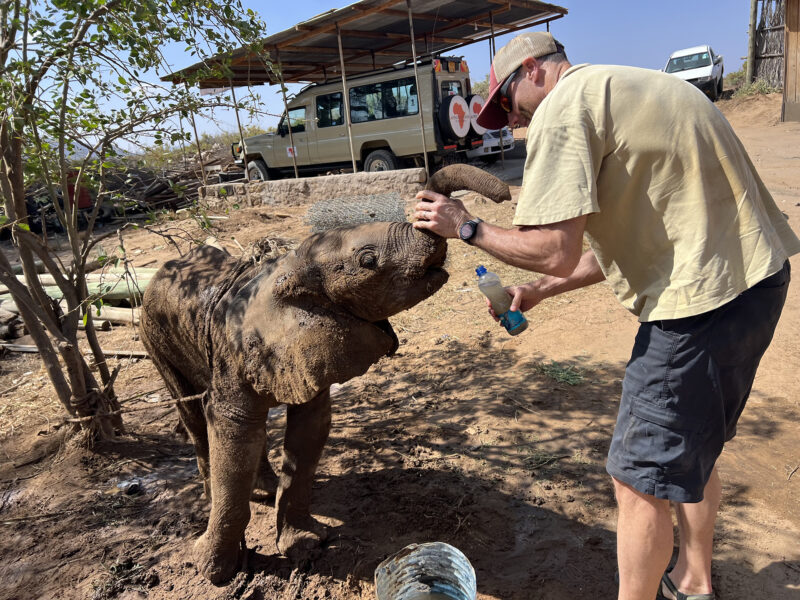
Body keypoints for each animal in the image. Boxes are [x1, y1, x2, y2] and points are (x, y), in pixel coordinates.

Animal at [139, 164, 510, 584]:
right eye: (368, 260)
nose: (505, 195)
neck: (286, 271)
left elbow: (309, 429)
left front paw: (307, 545)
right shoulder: (234, 352)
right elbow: (231, 432)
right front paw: (213, 573)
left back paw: (264, 490)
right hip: (154, 335)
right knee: (192, 413)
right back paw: (213, 494)